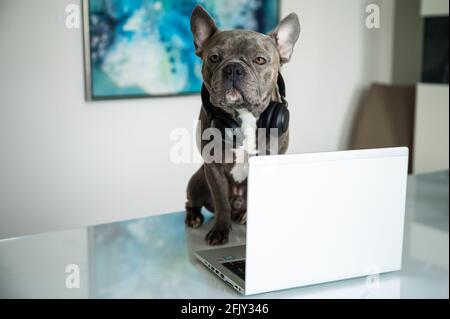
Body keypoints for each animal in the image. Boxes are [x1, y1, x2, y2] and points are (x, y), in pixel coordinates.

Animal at [185, 4, 300, 245]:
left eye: (260, 60)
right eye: (214, 57)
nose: (233, 68)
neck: (244, 112)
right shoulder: (213, 167)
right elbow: (221, 203)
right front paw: (220, 231)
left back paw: (244, 215)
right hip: (197, 181)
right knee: (194, 202)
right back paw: (194, 217)